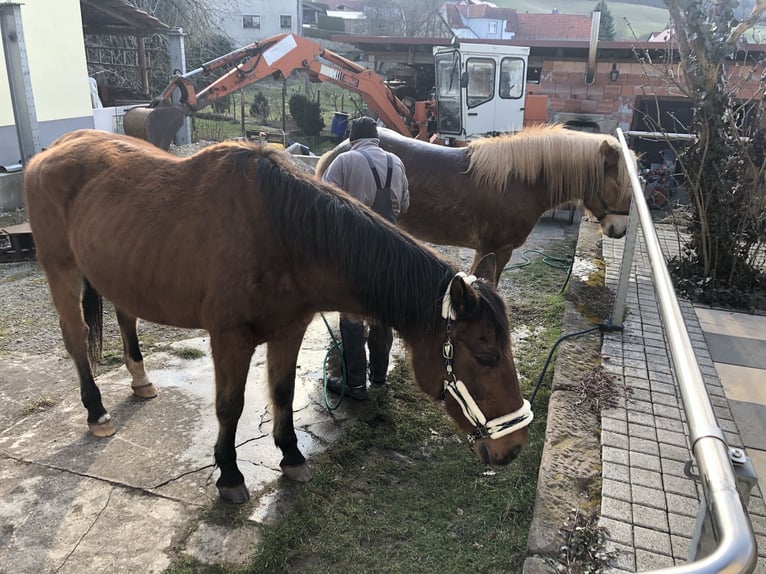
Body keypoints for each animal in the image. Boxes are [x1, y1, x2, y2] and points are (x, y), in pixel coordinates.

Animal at [22, 129, 536, 504]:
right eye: (486, 356)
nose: (513, 448)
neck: (283, 233)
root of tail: (55, 149)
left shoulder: (290, 331)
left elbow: (283, 395)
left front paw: (291, 456)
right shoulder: (229, 339)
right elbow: (229, 407)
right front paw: (229, 475)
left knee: (126, 320)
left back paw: (140, 381)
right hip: (60, 270)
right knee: (75, 338)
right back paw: (96, 411)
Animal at [316, 125, 640, 284]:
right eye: (617, 184)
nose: (620, 230)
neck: (519, 182)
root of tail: (340, 148)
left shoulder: (490, 251)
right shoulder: (496, 248)